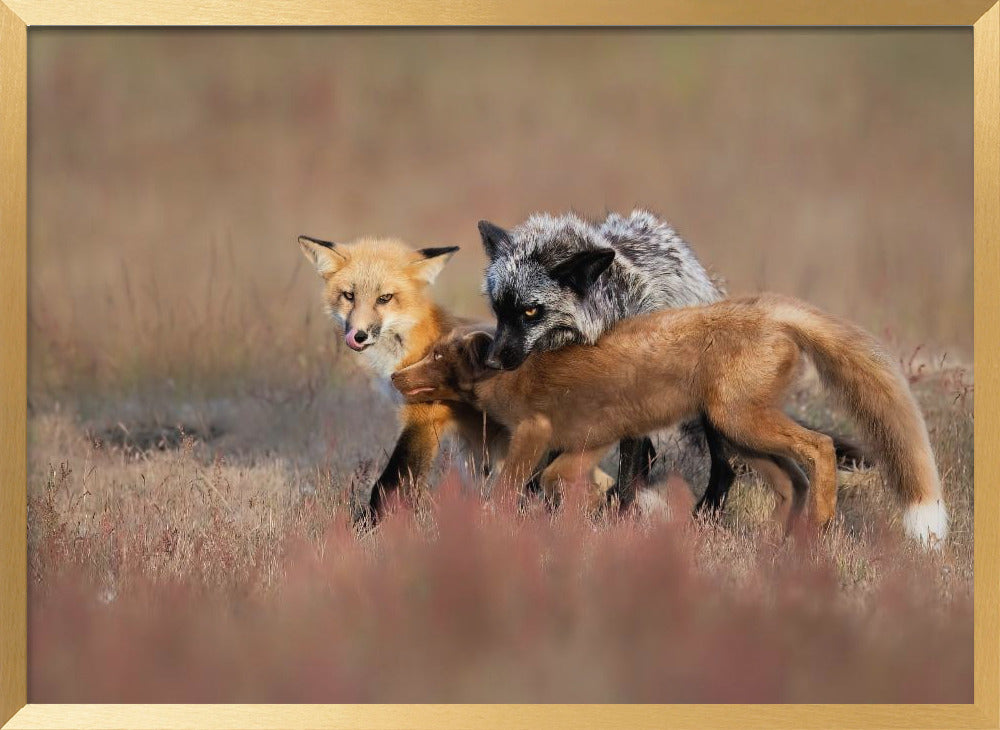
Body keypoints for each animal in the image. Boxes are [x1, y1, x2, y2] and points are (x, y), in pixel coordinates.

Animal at [391, 293, 948, 547]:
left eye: (437, 357)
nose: (396, 376)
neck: (510, 375)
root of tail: (770, 308)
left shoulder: (538, 431)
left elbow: (514, 486)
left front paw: (499, 525)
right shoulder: (589, 440)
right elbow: (561, 480)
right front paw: (595, 515)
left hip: (741, 422)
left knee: (820, 448)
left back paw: (820, 523)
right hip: (738, 435)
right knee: (792, 480)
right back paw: (775, 542)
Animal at [477, 210, 863, 511]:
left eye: (530, 311)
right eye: (498, 309)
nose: (491, 362)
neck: (607, 320)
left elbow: (628, 474)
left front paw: (615, 519)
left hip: (717, 413)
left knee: (723, 468)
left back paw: (704, 516)